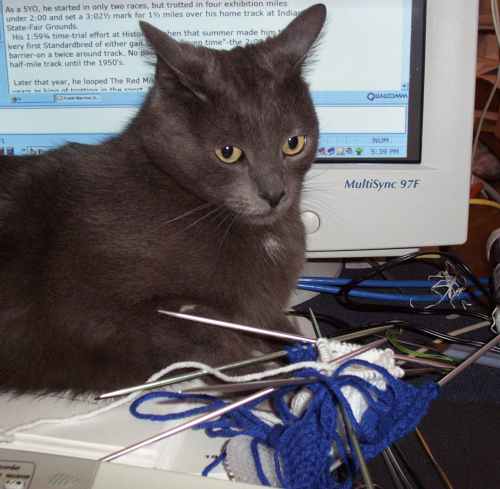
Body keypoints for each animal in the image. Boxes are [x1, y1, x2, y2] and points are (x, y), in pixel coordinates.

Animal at [0, 3, 326, 392]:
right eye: (228, 152)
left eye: (293, 143)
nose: (274, 194)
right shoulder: (85, 309)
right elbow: (202, 334)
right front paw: (272, 376)